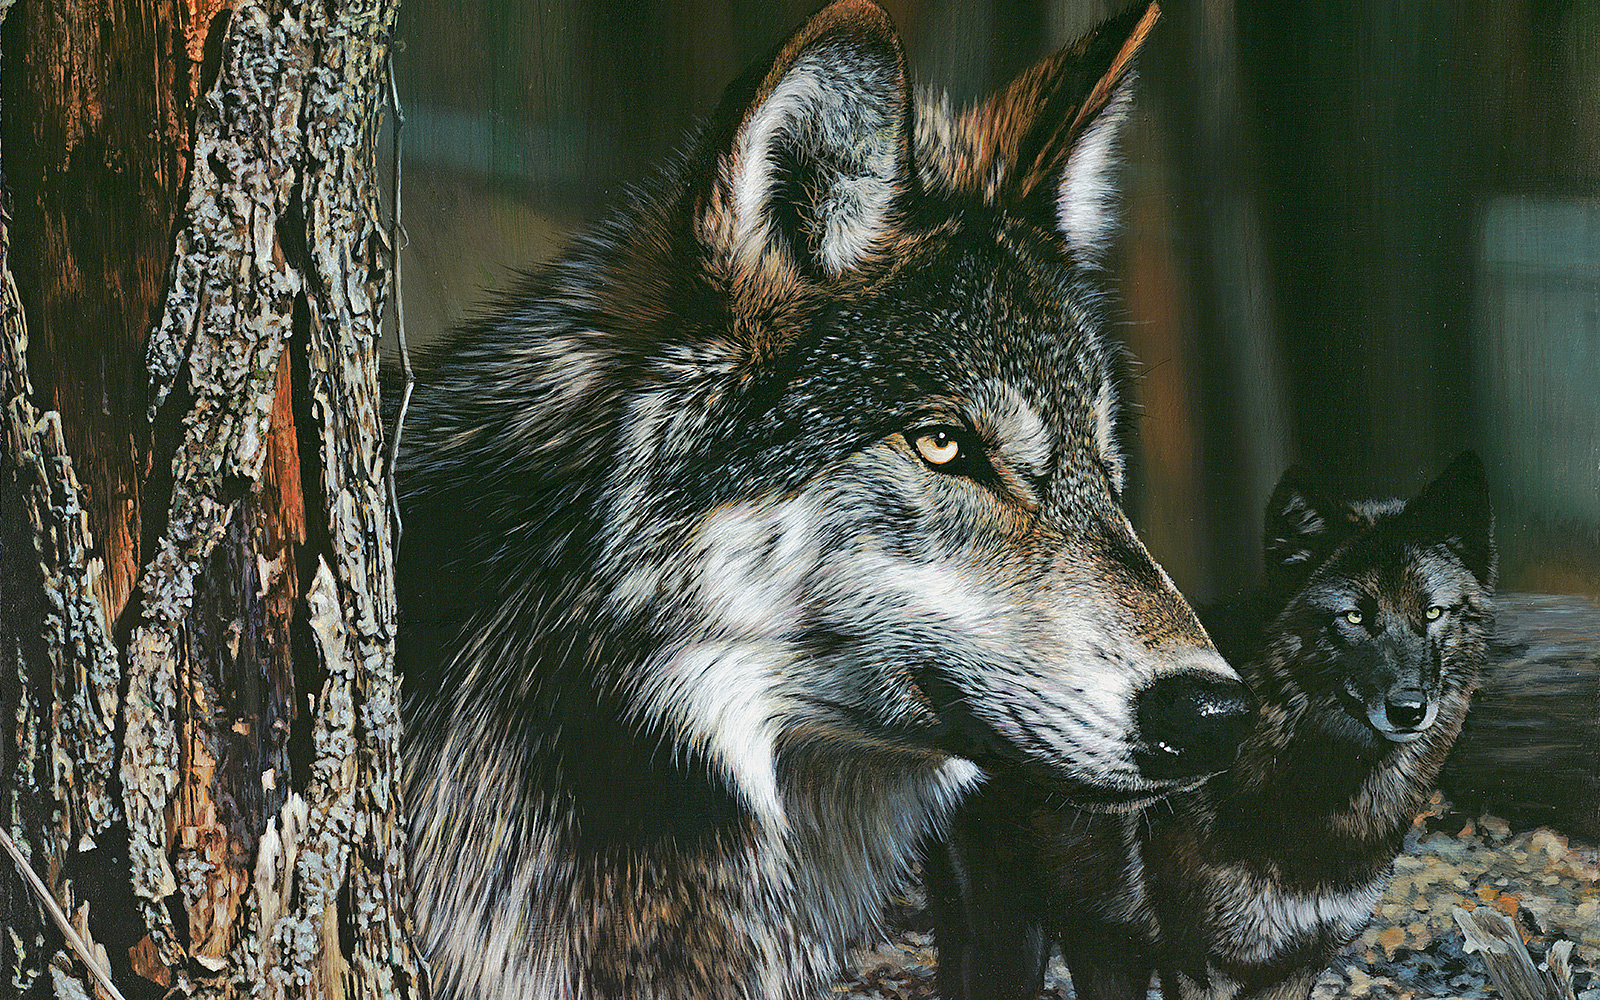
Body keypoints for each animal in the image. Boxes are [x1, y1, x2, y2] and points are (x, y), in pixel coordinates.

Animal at [925, 451, 1496, 1000]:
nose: (1409, 709)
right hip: (1005, 938)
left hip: (1103, 944)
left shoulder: (1299, 963)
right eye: (1354, 618)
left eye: (1433, 613)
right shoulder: (1202, 966)